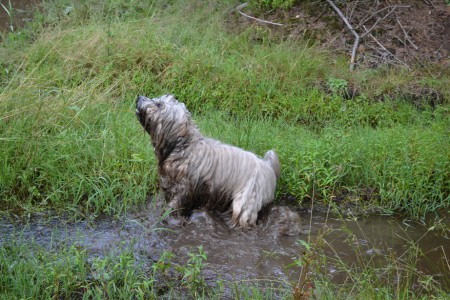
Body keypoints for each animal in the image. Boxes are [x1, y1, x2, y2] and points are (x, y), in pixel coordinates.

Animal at [135, 94, 280, 227]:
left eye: (159, 104)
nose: (139, 97)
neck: (183, 147)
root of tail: (268, 166)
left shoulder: (184, 190)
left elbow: (175, 206)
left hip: (245, 202)